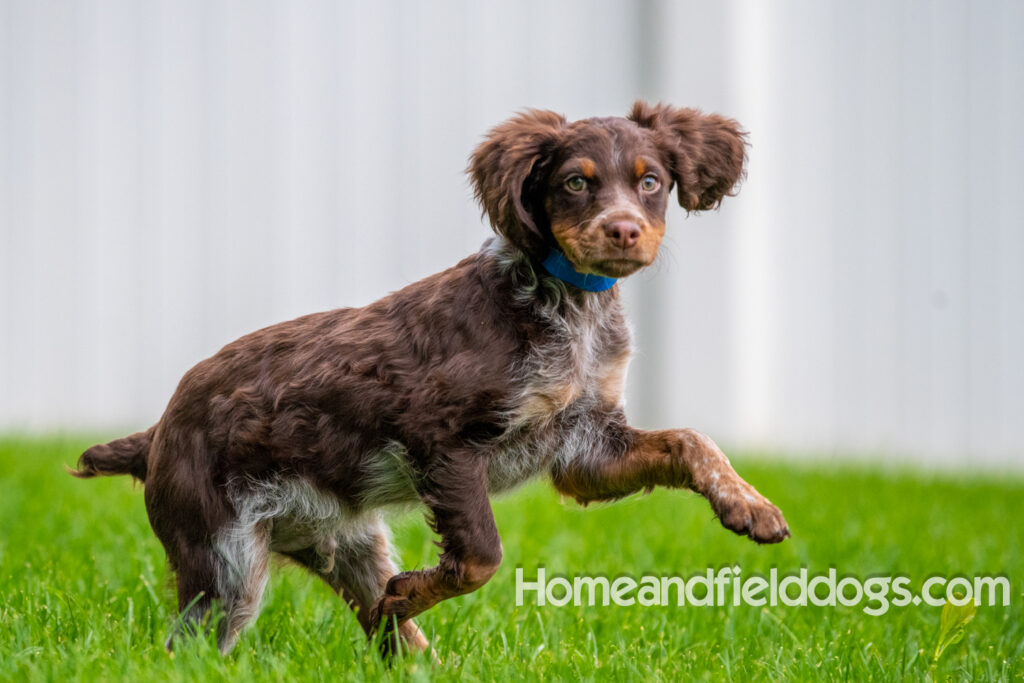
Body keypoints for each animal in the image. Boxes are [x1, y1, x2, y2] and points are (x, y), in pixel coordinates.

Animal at [74, 101, 790, 655]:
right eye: (575, 184)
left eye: (652, 181)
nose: (623, 230)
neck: (570, 309)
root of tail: (158, 431)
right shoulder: (441, 439)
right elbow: (479, 557)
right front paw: (413, 591)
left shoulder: (584, 450)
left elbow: (690, 439)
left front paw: (749, 506)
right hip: (225, 563)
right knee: (189, 649)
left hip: (344, 543)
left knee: (387, 634)